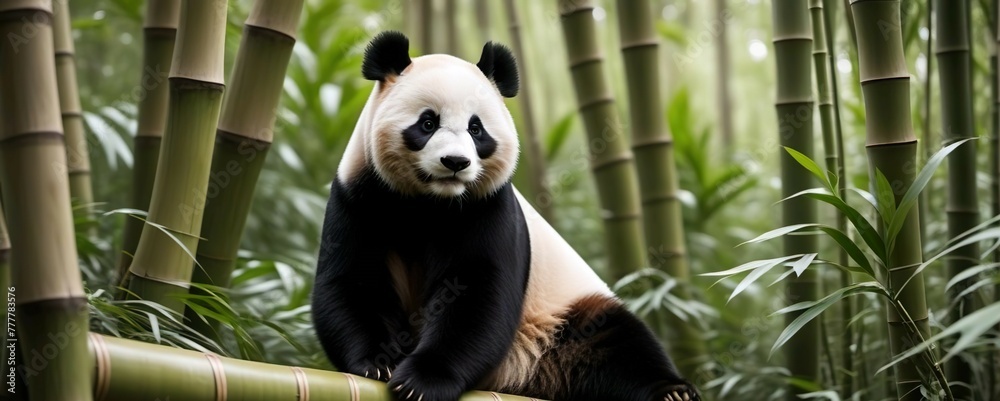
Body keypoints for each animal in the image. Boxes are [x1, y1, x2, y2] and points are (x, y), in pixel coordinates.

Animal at [312, 31, 700, 401]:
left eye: (476, 128)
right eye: (427, 123)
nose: (455, 162)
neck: (431, 203)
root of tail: (526, 377)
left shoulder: (489, 207)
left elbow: (478, 294)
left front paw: (422, 381)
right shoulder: (360, 197)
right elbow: (354, 280)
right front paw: (379, 363)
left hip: (559, 315)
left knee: (615, 340)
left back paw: (672, 391)